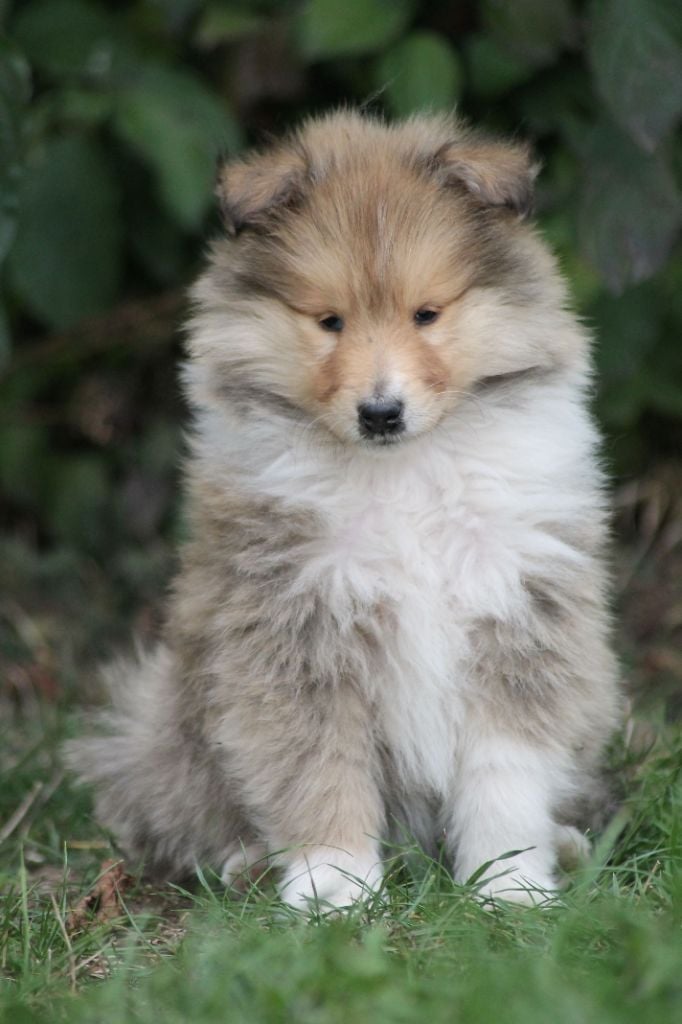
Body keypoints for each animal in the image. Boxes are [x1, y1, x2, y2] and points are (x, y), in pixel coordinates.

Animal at [68, 111, 621, 907]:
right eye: (329, 321)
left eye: (427, 314)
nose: (381, 413)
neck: (401, 473)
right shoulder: (297, 628)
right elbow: (317, 769)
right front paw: (335, 890)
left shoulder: (517, 614)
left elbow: (504, 776)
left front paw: (509, 886)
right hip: (170, 722)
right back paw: (247, 865)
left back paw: (568, 846)